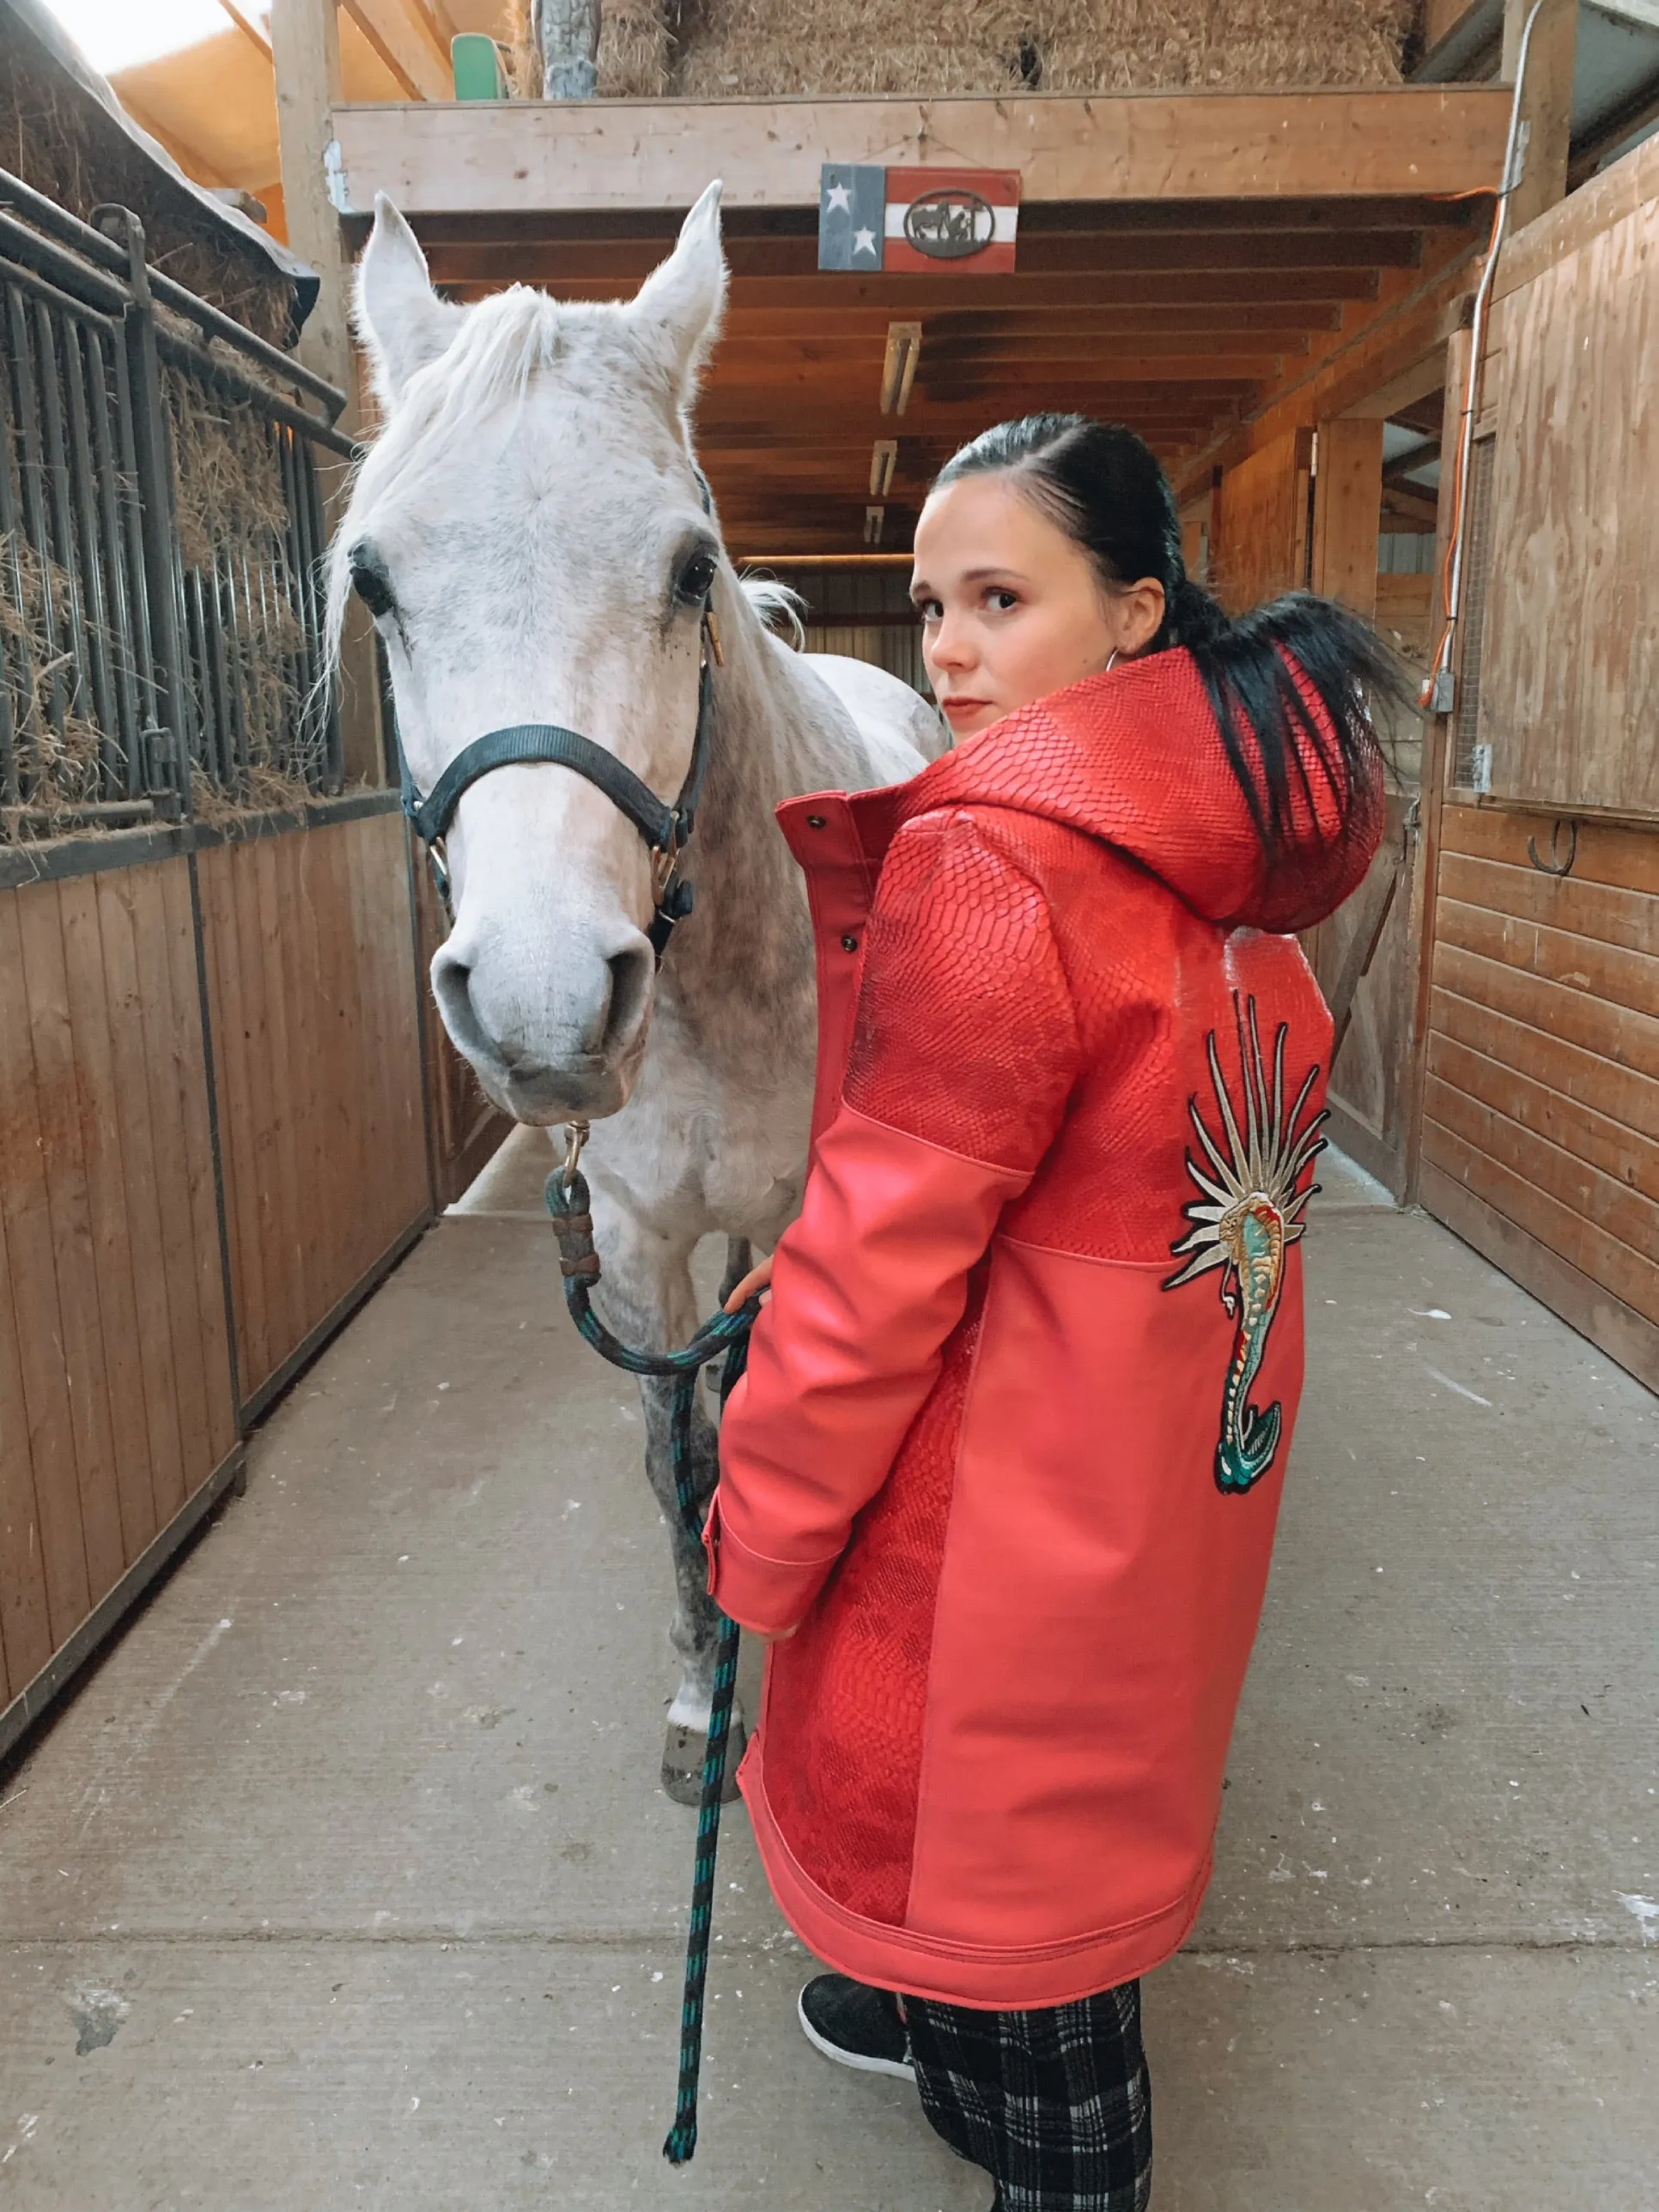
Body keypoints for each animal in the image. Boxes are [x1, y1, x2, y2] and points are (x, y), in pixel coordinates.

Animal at [333, 185, 946, 1796]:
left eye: (686, 566)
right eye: (374, 581)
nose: (543, 1002)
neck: (722, 987)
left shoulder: (799, 1223)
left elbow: (772, 1424)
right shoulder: (630, 1239)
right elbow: (678, 1453)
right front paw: (697, 1692)